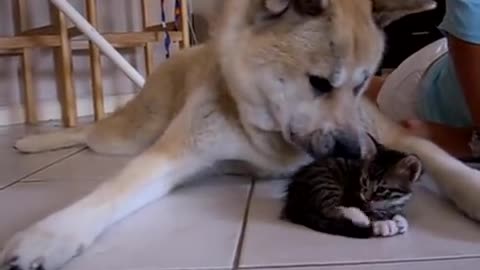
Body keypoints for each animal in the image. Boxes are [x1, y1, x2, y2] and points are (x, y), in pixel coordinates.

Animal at [284, 135, 422, 238]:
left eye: (381, 189)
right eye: (365, 181)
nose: (366, 198)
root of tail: (292, 200)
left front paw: (400, 219)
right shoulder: (353, 195)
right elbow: (370, 211)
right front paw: (384, 222)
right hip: (325, 181)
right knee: (328, 208)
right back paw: (361, 217)